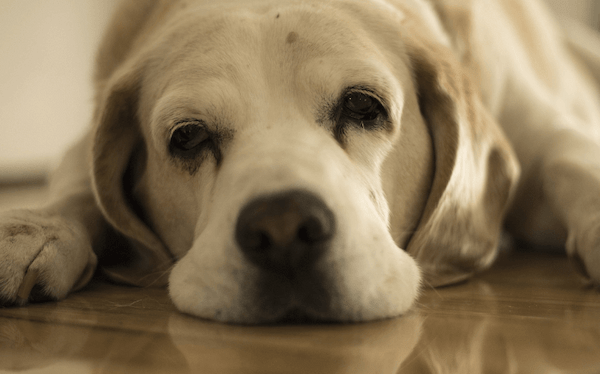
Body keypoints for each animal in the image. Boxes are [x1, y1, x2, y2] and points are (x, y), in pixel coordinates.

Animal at [0, 0, 596, 322]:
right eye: (188, 137)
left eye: (362, 105)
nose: (283, 230)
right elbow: (77, 186)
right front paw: (38, 228)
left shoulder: (537, 127)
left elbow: (571, 160)